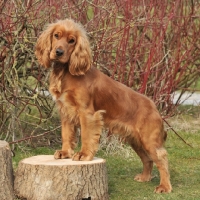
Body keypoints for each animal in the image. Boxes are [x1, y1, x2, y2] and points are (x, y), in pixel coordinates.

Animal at [34, 19, 172, 194]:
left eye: (72, 40)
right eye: (56, 35)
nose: (58, 52)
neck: (65, 72)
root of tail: (154, 107)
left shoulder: (87, 113)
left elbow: (86, 136)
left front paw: (83, 155)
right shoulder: (65, 112)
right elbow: (66, 135)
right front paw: (65, 153)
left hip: (149, 139)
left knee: (162, 158)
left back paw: (164, 187)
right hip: (136, 140)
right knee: (148, 159)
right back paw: (144, 177)